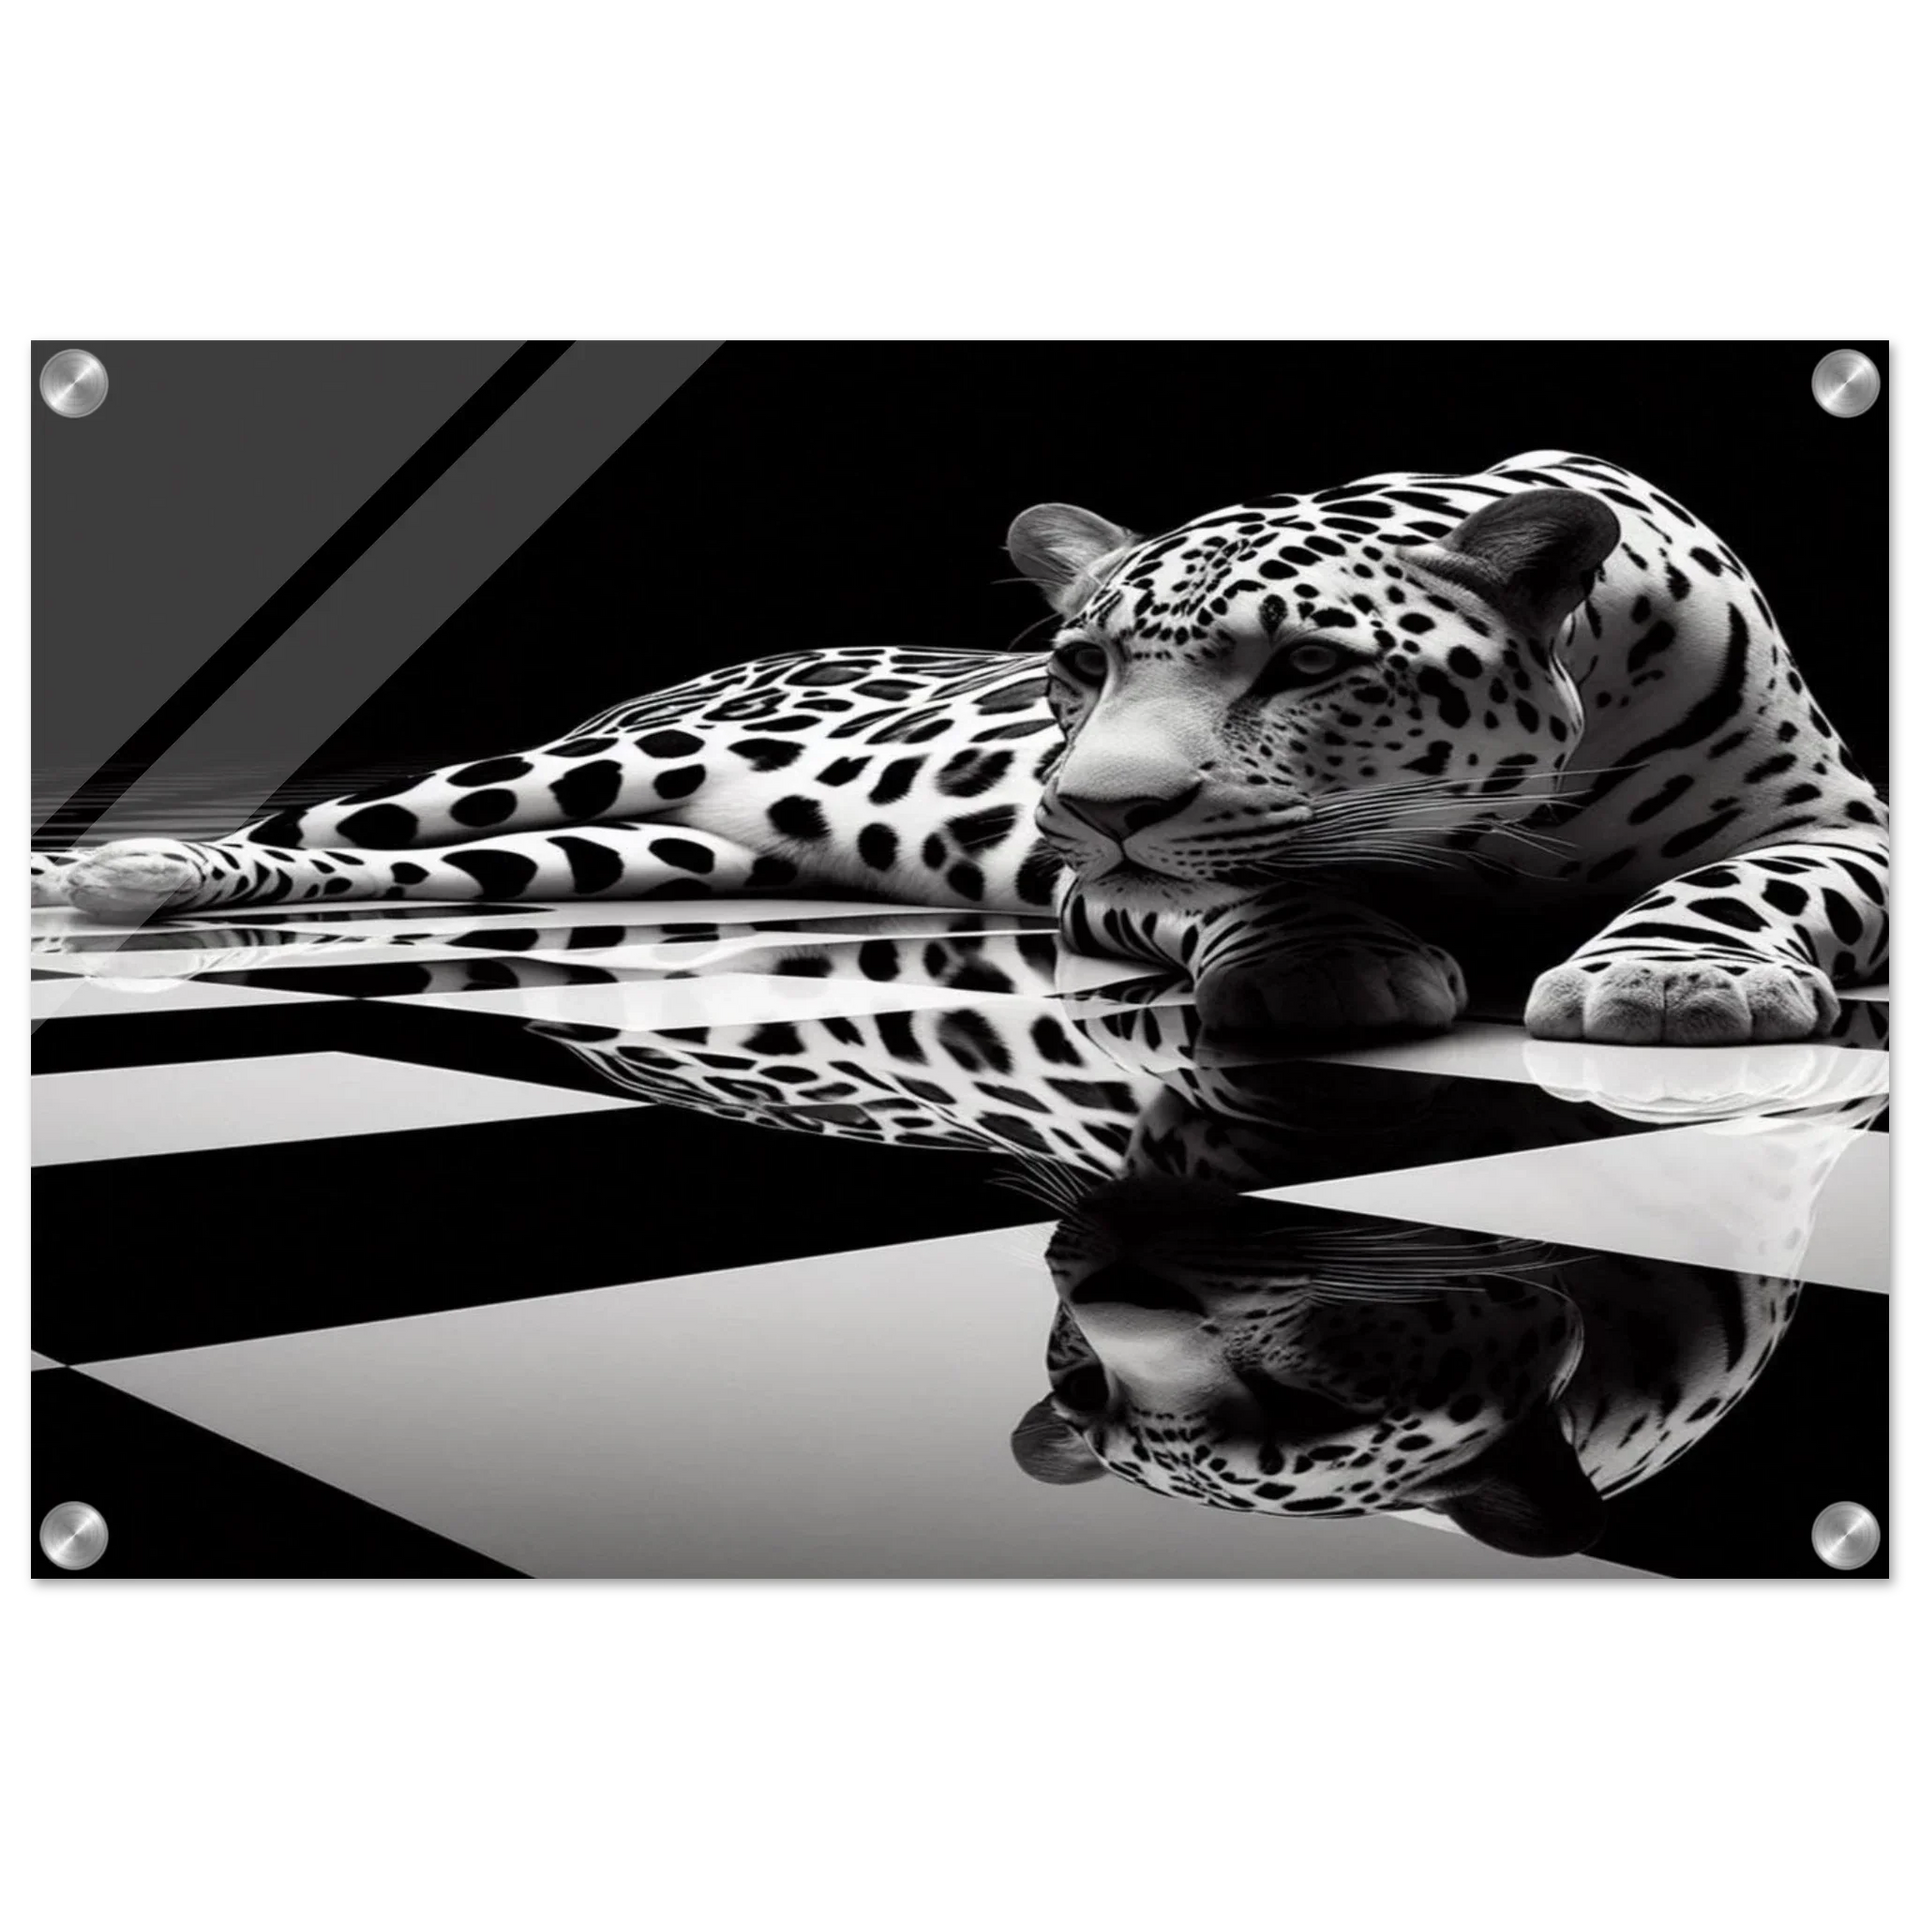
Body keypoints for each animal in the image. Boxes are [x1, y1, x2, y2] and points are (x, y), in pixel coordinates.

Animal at [32, 451, 1890, 1046]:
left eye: (1305, 663)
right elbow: (1246, 886)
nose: (1093, 801)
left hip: (628, 850)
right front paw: (1329, 961)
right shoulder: (1098, 891)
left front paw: (1670, 979)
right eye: (1076, 666)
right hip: (560, 780)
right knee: (337, 825)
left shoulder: (1842, 824)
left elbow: (1742, 884)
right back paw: (118, 875)